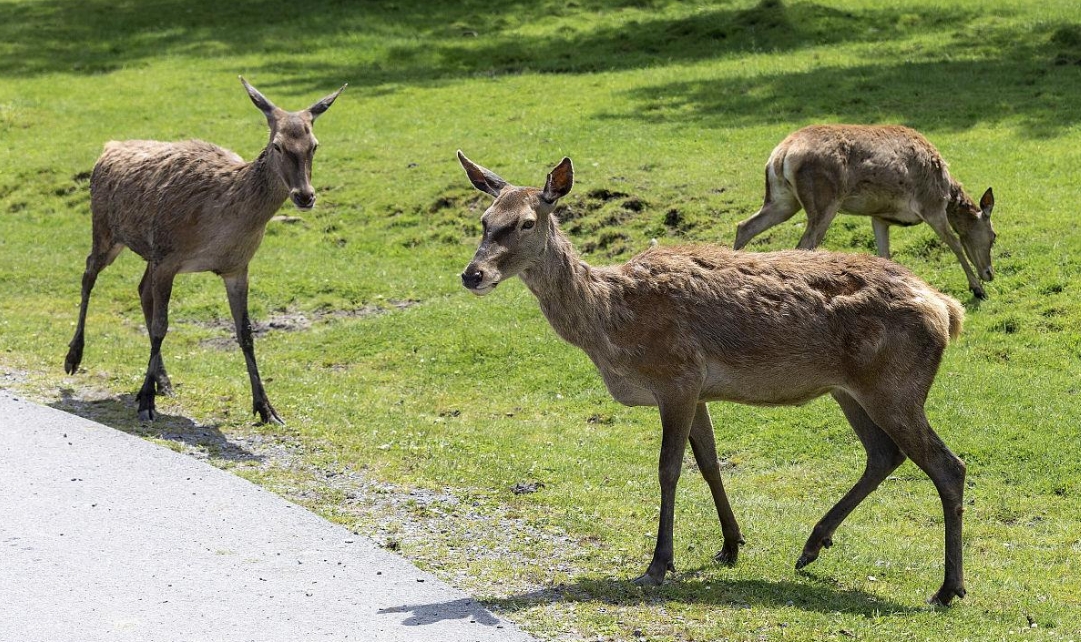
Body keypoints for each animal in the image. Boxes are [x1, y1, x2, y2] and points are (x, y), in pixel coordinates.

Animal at [62, 76, 345, 425]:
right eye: (277, 145)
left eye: (314, 145)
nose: (305, 196)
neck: (222, 223)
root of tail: (108, 147)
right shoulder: (169, 258)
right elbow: (162, 326)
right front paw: (145, 401)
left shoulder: (237, 266)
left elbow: (246, 333)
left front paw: (266, 408)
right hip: (106, 230)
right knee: (89, 273)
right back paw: (74, 357)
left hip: (149, 253)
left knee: (141, 289)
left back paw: (164, 380)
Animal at [458, 151, 972, 605]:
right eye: (484, 219)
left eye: (526, 222)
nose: (472, 274)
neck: (612, 327)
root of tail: (948, 310)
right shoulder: (698, 389)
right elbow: (708, 464)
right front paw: (730, 544)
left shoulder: (676, 376)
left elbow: (668, 469)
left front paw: (658, 564)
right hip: (850, 390)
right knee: (884, 454)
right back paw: (812, 545)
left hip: (895, 386)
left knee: (947, 465)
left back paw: (947, 589)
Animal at [735, 125, 994, 300]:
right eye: (993, 236)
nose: (989, 273)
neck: (947, 191)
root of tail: (781, 154)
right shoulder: (931, 206)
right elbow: (955, 244)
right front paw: (977, 289)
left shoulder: (880, 216)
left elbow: (885, 254)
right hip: (824, 200)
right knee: (803, 246)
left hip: (782, 200)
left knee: (745, 226)